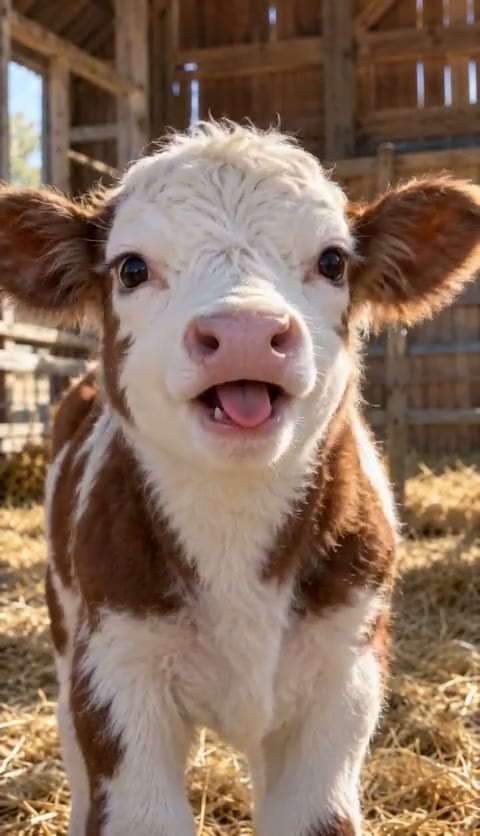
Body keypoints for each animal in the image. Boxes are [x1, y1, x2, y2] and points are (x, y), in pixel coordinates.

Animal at [1, 121, 479, 836]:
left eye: (332, 261)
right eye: (131, 267)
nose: (245, 332)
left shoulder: (347, 667)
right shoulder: (115, 665)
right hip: (65, 625)